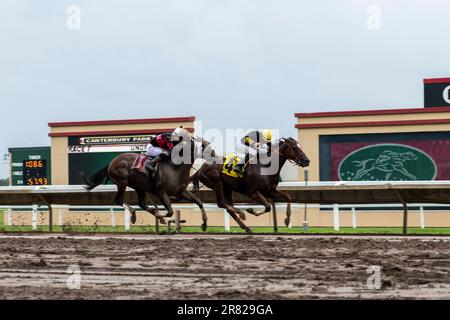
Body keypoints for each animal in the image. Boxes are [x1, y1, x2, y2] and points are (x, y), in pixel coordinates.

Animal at [81, 138, 215, 230]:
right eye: (204, 145)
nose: (214, 153)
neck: (176, 168)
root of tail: (111, 162)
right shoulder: (161, 193)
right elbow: (170, 212)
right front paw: (164, 218)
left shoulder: (180, 192)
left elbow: (198, 201)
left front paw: (204, 223)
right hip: (122, 182)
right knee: (119, 200)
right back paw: (134, 215)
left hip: (138, 187)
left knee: (142, 204)